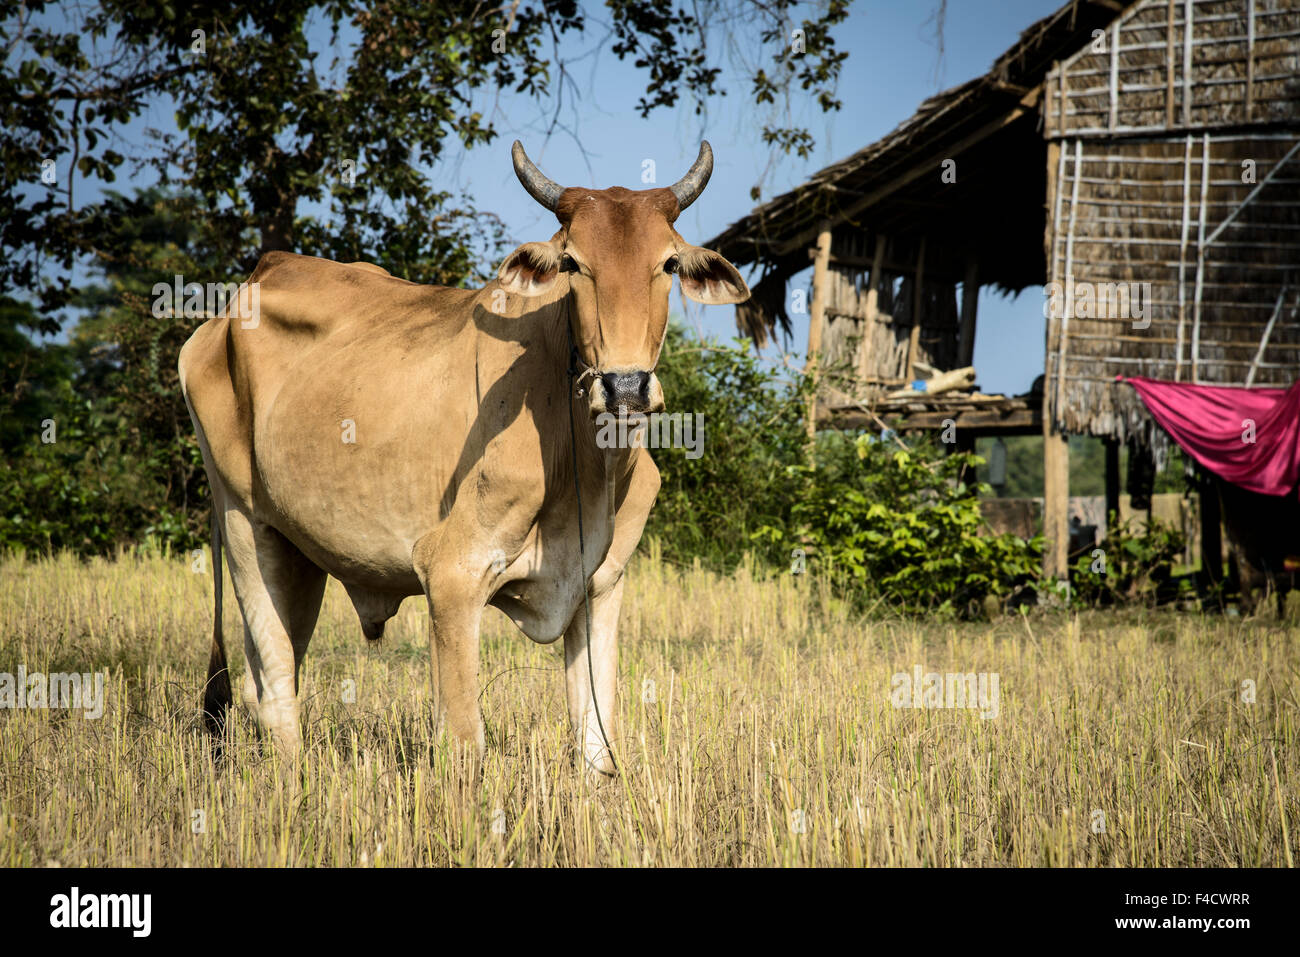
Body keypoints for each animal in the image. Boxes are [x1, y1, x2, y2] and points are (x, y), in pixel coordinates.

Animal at [182, 141, 754, 774]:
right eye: (573, 264)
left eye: (670, 264)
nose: (624, 387)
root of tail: (245, 291)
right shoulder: (451, 575)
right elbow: (463, 745)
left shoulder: (600, 588)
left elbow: (597, 746)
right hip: (243, 523)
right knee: (275, 680)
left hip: (297, 549)